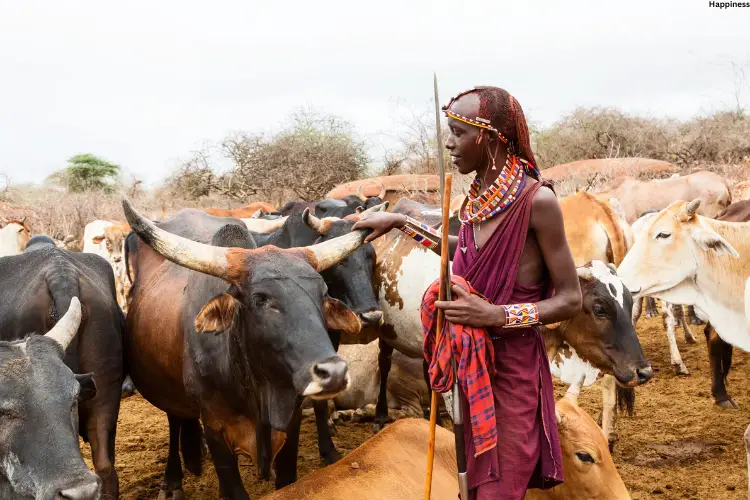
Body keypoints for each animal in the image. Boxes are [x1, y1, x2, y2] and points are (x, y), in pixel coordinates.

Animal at [125, 203, 382, 500]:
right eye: (260, 299)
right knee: (175, 420)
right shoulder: (215, 428)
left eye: (323, 292)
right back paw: (172, 480)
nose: (335, 373)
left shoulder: (290, 420)